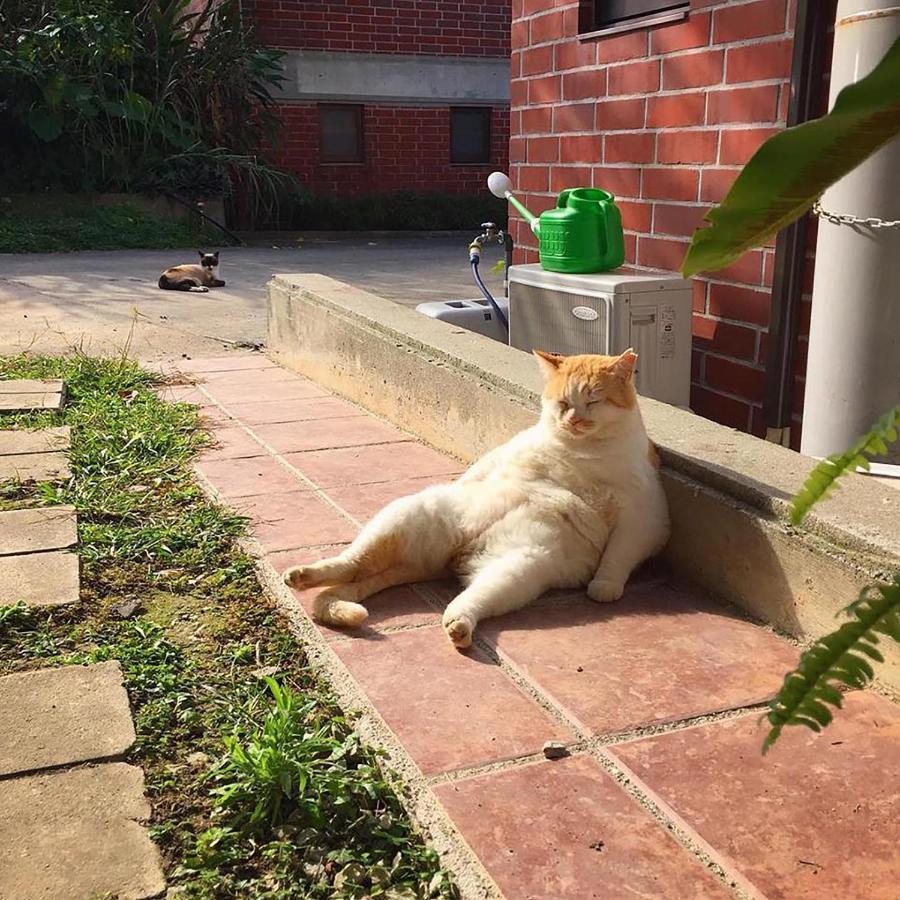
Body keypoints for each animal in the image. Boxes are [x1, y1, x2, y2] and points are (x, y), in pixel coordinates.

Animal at [282, 348, 668, 652]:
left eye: (592, 401)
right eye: (563, 403)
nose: (572, 419)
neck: (582, 452)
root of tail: (453, 556)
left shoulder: (642, 517)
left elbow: (618, 556)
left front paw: (604, 586)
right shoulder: (506, 451)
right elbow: (482, 468)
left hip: (521, 568)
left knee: (464, 602)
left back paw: (458, 627)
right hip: (404, 517)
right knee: (350, 563)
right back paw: (301, 575)